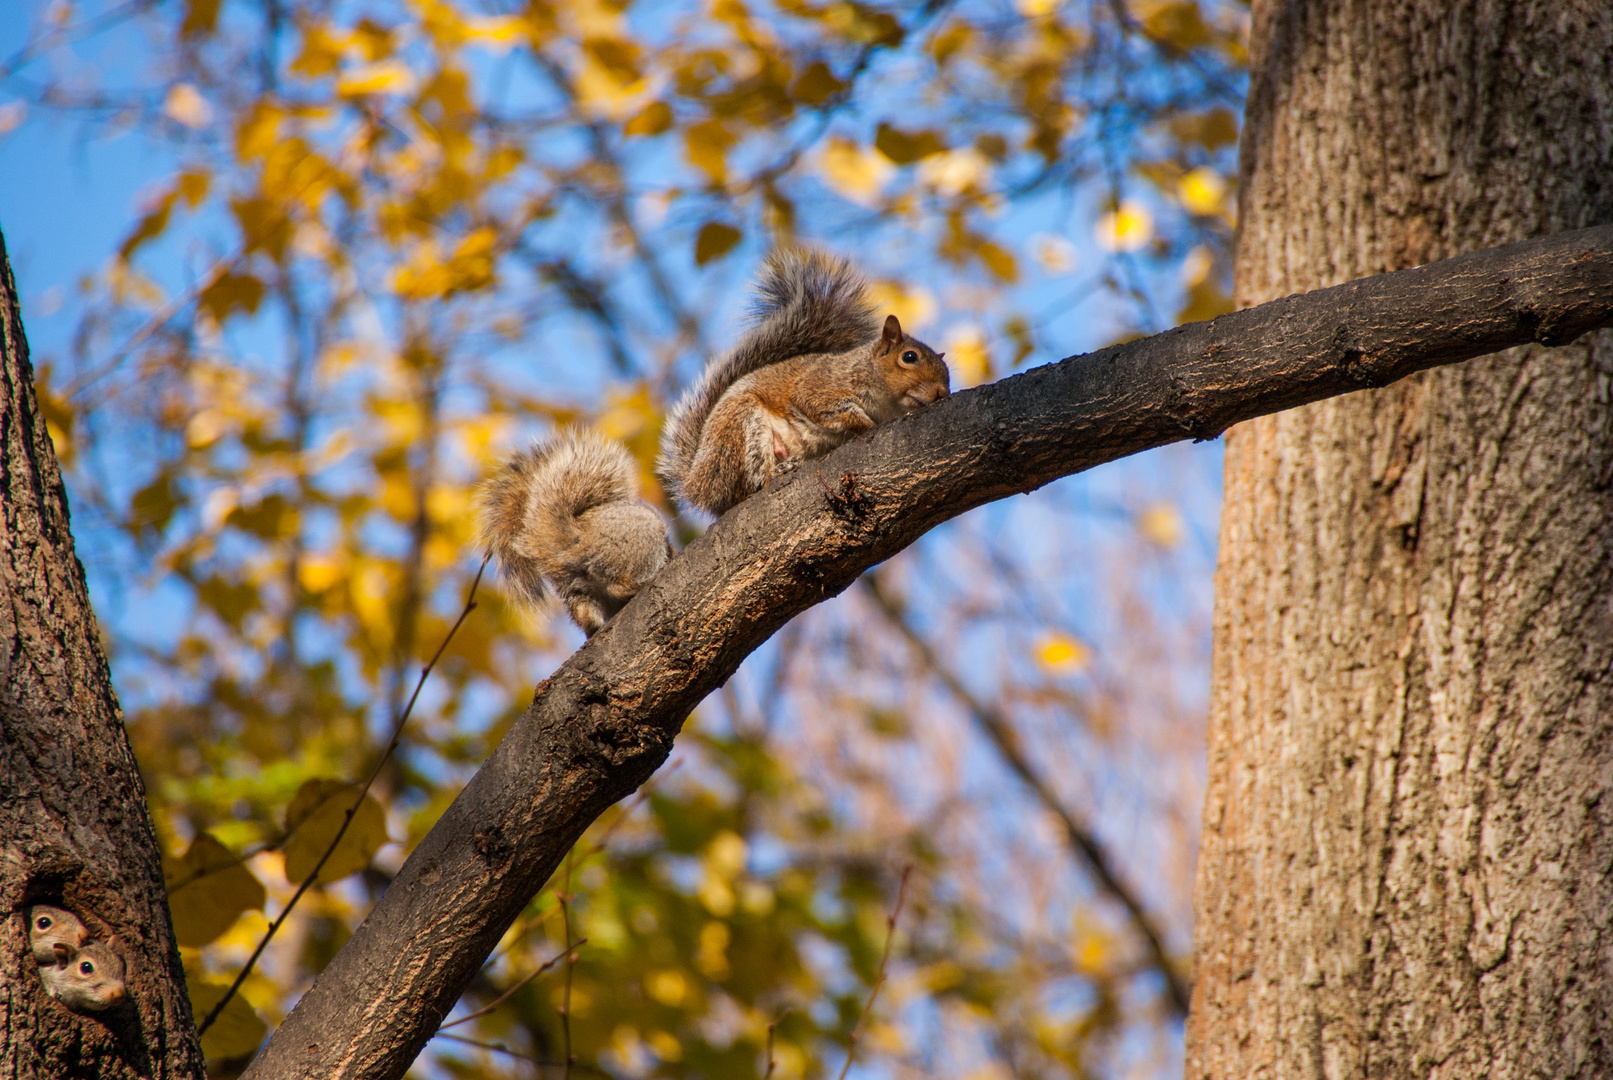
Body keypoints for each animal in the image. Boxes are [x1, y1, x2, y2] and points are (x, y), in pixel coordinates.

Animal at [477, 248, 948, 635]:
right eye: (908, 357)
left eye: (945, 372)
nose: (942, 395)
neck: (876, 387)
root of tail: (701, 481)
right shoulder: (820, 388)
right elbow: (824, 408)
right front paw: (861, 423)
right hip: (742, 432)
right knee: (746, 488)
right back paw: (778, 472)